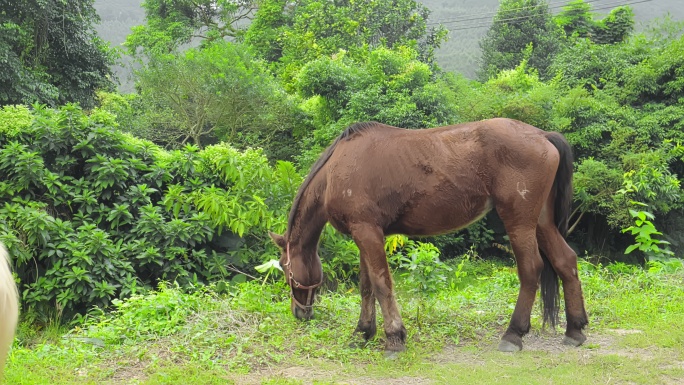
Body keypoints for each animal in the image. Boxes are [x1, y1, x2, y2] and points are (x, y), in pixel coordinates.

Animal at [270, 118, 592, 352]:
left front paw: (394, 338)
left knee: (531, 270)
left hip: (520, 222)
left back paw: (513, 334)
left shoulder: (367, 233)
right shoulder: (364, 233)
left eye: (285, 269)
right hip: (541, 223)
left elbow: (382, 285)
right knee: (566, 261)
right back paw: (575, 329)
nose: (299, 313)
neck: (337, 169)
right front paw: (362, 333)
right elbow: (367, 287)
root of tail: (542, 135)